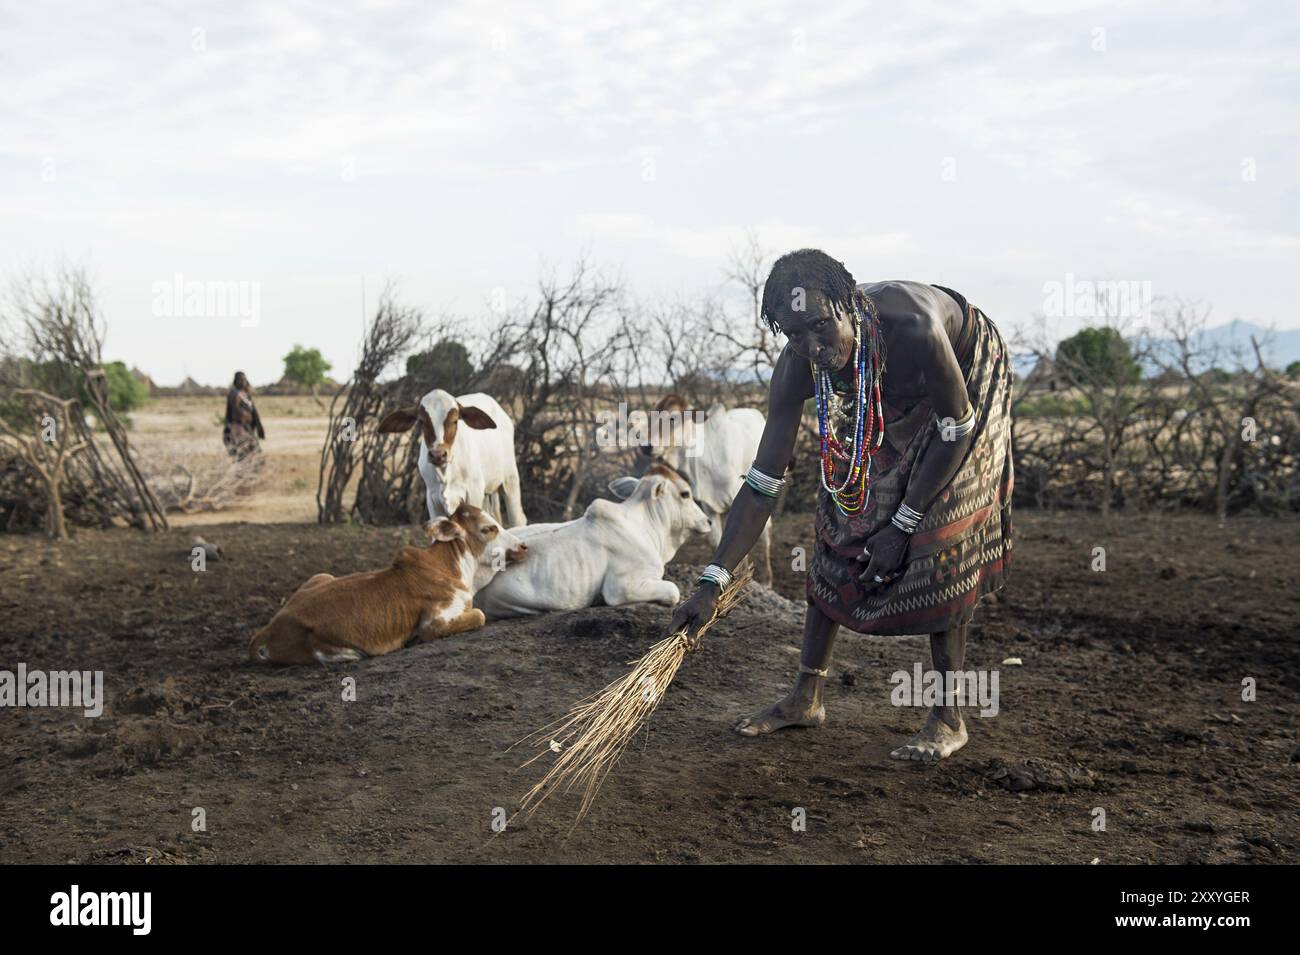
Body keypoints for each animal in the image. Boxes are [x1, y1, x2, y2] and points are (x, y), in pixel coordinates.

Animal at [248, 501, 522, 665]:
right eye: (488, 529)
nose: (522, 546)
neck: (455, 569)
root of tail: (266, 631)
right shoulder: (434, 623)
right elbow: (479, 615)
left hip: (321, 575)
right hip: (330, 649)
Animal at [637, 392, 769, 587]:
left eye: (673, 418)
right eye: (651, 415)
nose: (646, 446)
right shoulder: (709, 505)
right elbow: (717, 541)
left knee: (766, 535)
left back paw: (768, 580)